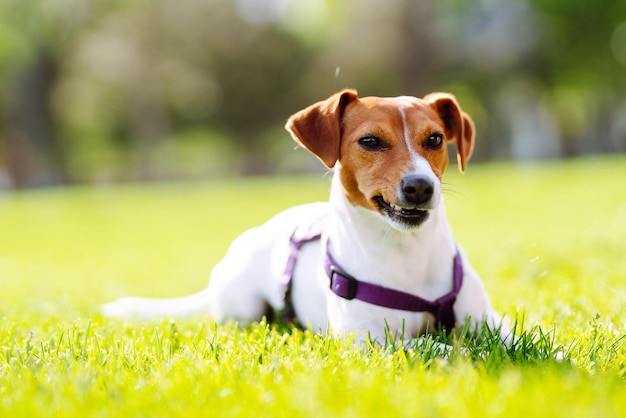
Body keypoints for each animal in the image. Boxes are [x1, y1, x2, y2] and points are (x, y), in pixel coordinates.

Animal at [102, 90, 510, 344]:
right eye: (370, 141)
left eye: (436, 139)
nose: (421, 187)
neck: (407, 254)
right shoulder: (370, 342)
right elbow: (445, 348)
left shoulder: (488, 321)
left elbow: (514, 340)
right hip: (243, 307)